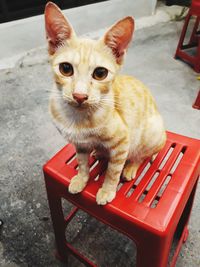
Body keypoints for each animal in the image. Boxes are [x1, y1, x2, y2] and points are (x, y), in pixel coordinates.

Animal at [44, 1, 166, 205]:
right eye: (66, 69)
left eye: (100, 73)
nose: (79, 96)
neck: (77, 118)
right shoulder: (80, 144)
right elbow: (82, 163)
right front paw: (81, 179)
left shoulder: (122, 142)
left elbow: (112, 171)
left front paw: (108, 190)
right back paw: (99, 152)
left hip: (152, 133)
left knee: (141, 154)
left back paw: (131, 167)